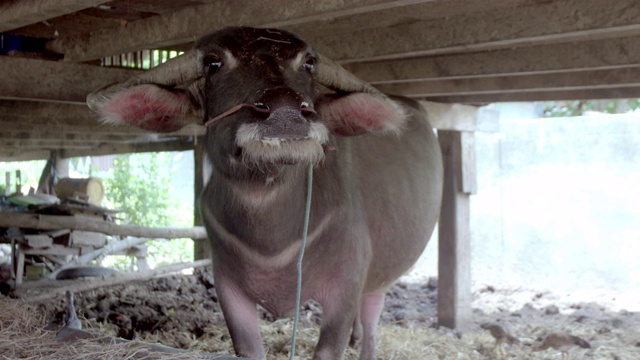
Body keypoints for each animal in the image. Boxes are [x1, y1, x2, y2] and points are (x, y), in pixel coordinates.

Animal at [87, 26, 442, 358]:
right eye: (213, 62)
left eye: (309, 63)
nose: (286, 113)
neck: (269, 237)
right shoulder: (227, 286)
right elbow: (248, 348)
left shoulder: (346, 284)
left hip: (380, 277)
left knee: (370, 315)